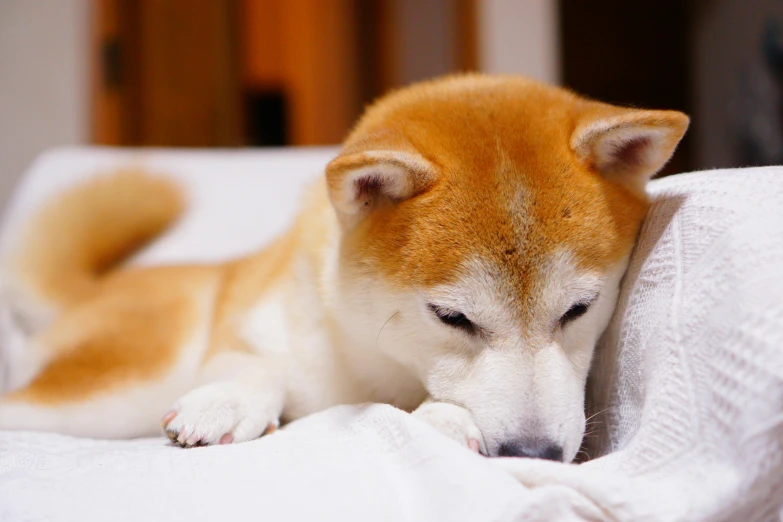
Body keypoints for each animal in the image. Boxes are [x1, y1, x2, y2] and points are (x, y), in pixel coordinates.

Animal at [0, 74, 688, 460]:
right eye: (452, 317)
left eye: (578, 309)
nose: (532, 453)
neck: (378, 365)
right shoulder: (254, 317)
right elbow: (249, 360)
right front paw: (227, 399)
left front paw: (442, 417)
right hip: (116, 390)